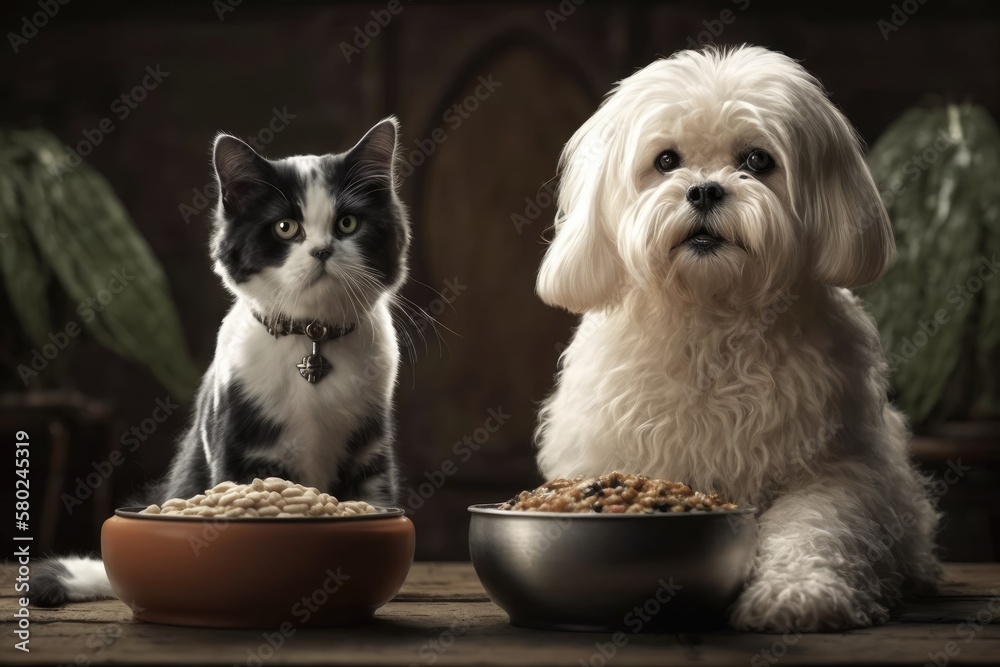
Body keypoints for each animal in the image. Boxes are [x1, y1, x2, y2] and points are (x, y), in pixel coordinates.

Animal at [36, 117, 410, 608]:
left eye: (348, 223)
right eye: (286, 228)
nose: (323, 250)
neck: (311, 339)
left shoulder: (371, 453)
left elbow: (374, 501)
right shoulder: (238, 445)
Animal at [536, 45, 940, 632]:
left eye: (757, 161)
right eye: (666, 161)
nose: (705, 189)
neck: (713, 315)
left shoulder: (835, 470)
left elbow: (814, 528)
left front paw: (795, 594)